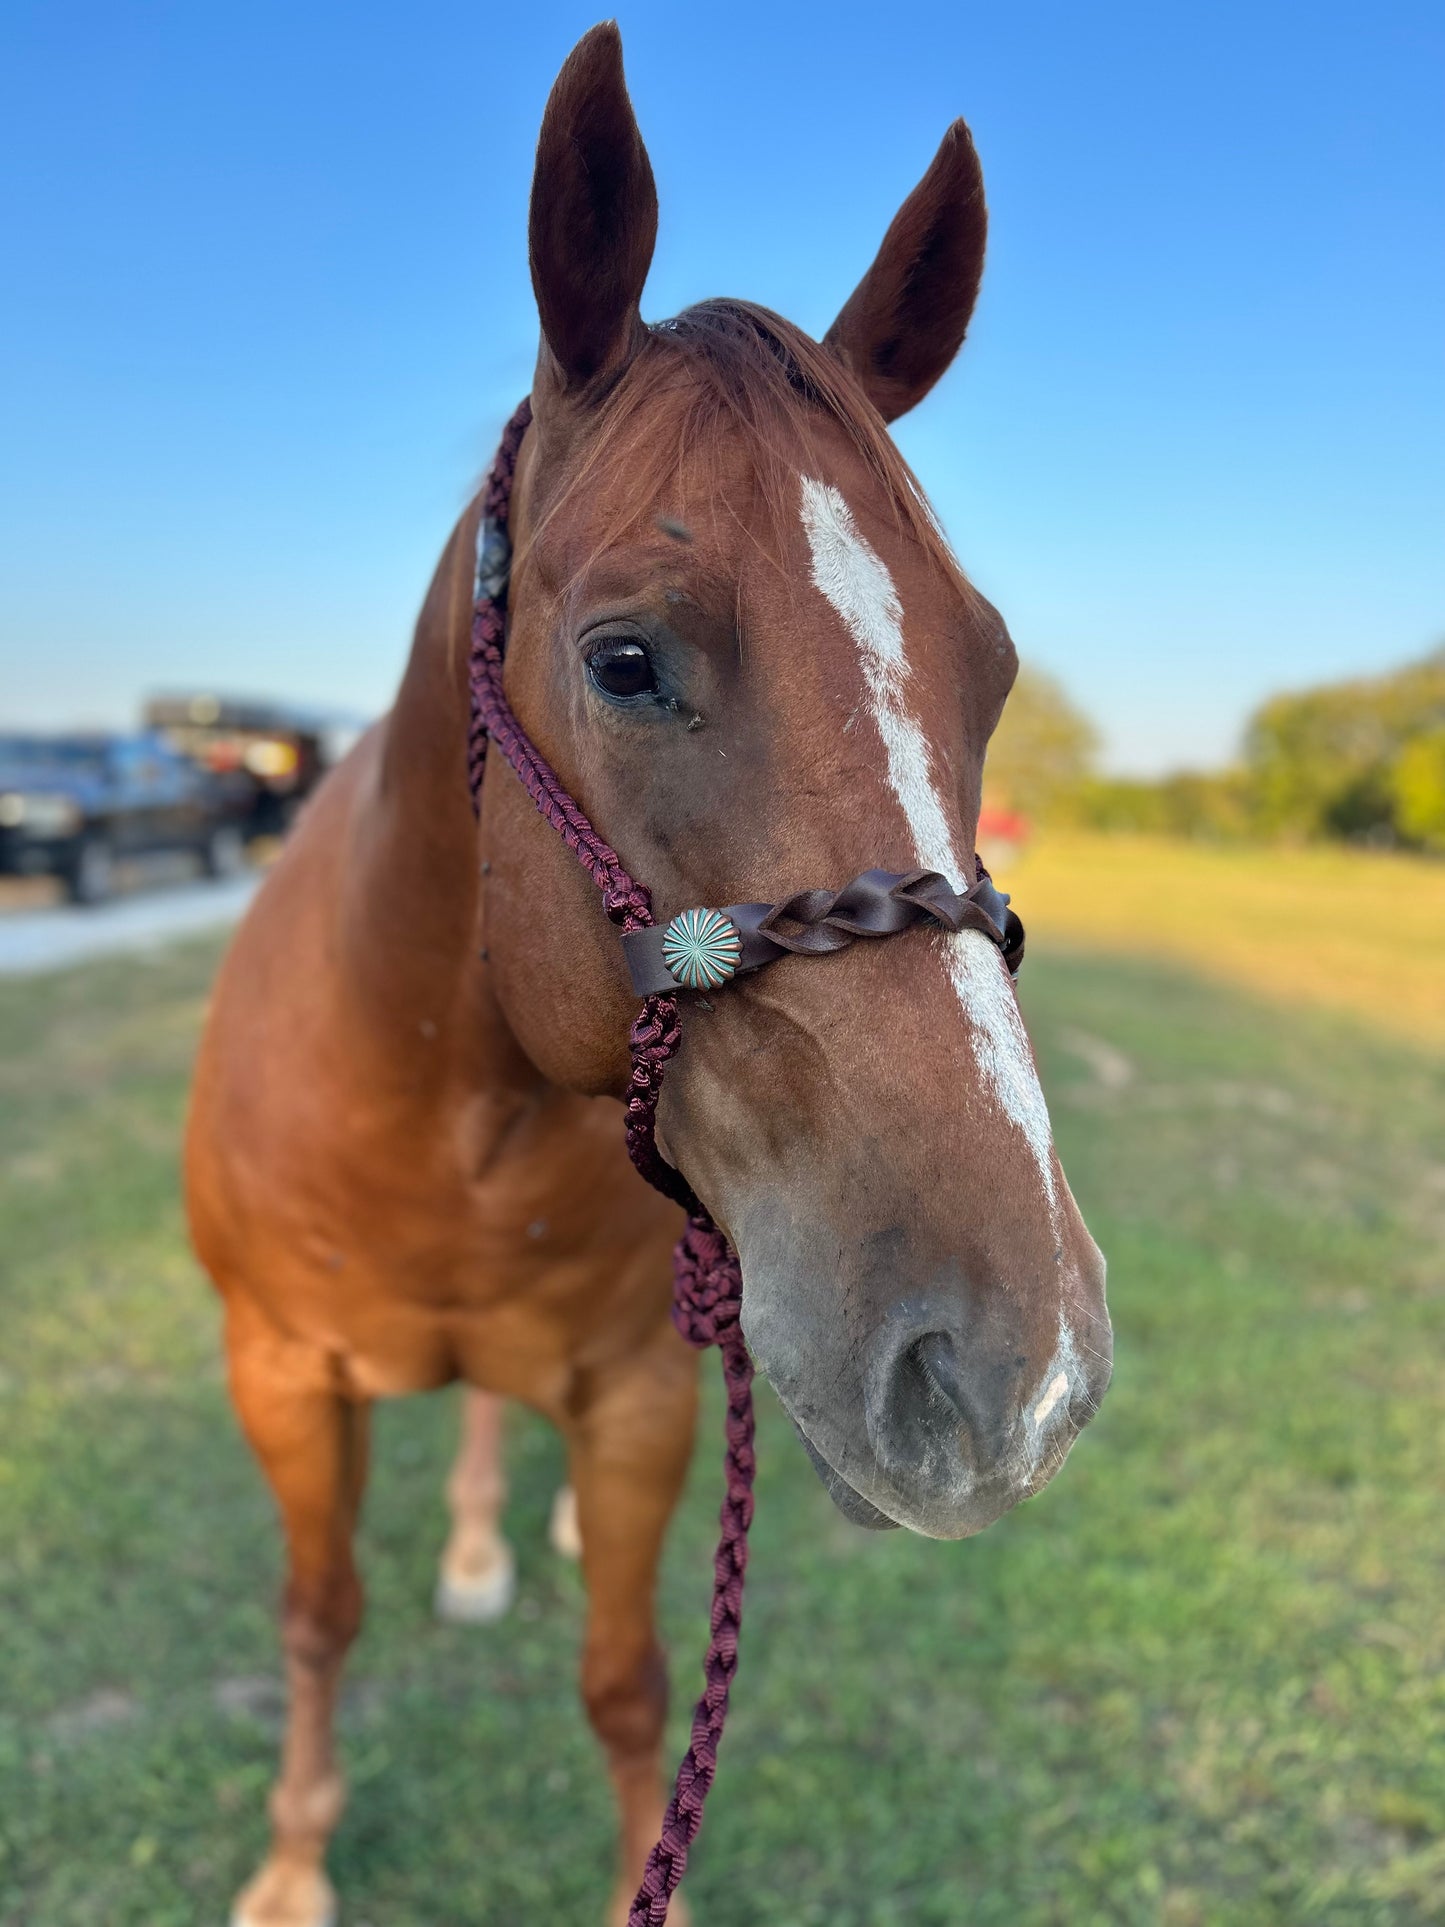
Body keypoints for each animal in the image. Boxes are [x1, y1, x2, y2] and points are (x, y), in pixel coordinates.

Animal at [189, 18, 1109, 1927]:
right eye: (624, 660)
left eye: (986, 671)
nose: (1021, 1373)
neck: (443, 1102)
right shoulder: (281, 1374)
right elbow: (317, 1616)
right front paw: (295, 1855)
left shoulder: (636, 1406)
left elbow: (627, 1686)